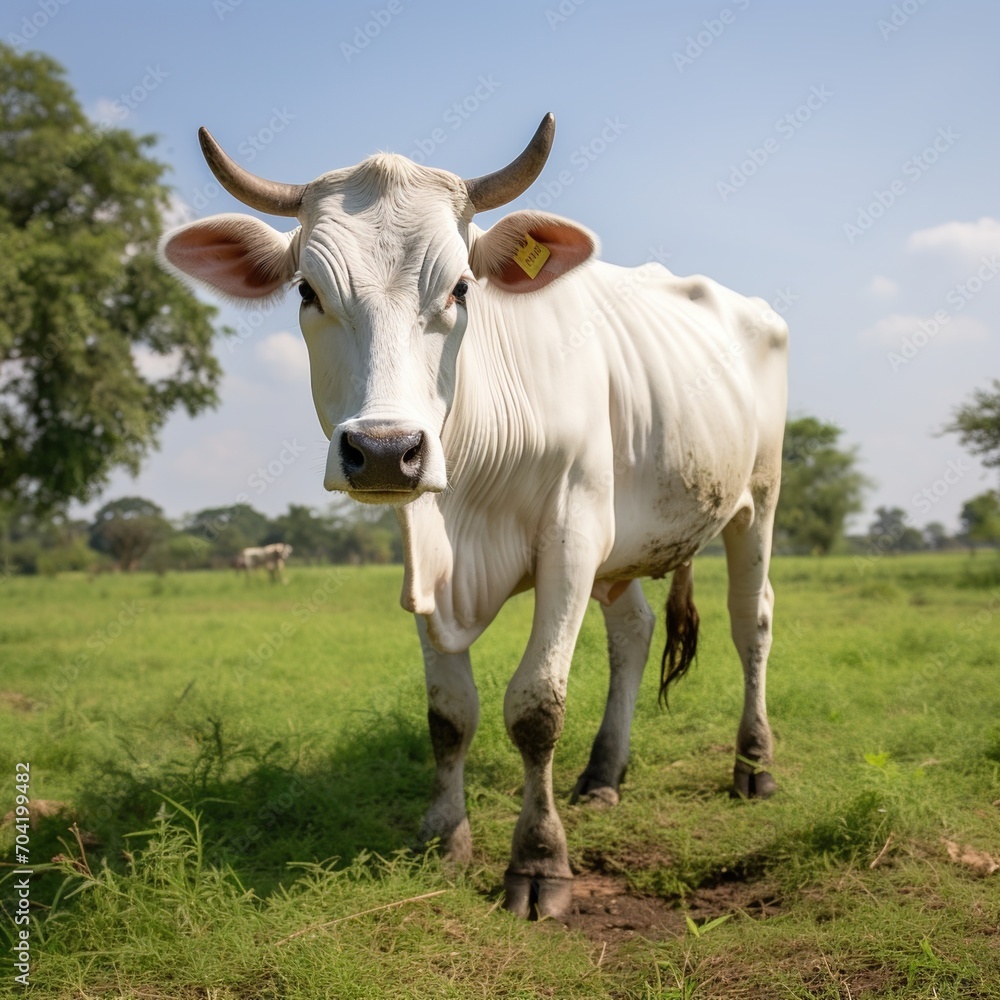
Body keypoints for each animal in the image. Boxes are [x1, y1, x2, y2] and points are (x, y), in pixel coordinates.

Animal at [162, 113, 788, 916]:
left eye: (461, 286)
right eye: (307, 290)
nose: (385, 450)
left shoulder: (571, 536)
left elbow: (536, 707)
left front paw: (540, 861)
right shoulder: (427, 558)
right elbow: (449, 711)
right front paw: (443, 836)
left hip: (756, 500)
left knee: (751, 621)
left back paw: (753, 764)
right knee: (634, 632)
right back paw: (603, 775)